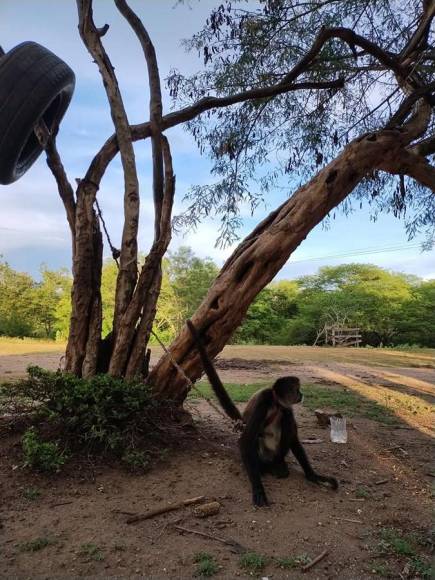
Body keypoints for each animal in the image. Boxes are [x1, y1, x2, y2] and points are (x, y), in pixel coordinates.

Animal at [186, 320, 338, 506]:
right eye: (297, 390)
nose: (301, 395)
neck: (275, 402)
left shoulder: (285, 406)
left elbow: (294, 438)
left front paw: (313, 476)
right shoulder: (263, 403)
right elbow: (245, 441)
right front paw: (258, 489)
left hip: (277, 450)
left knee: (286, 421)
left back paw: (278, 466)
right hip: (262, 454)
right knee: (256, 439)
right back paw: (265, 468)